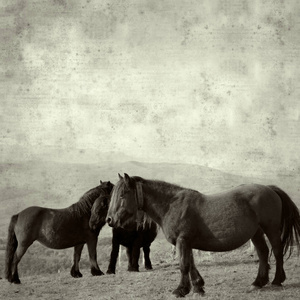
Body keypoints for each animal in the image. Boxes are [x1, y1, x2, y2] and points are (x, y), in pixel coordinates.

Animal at [106, 173, 300, 298]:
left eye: (122, 195)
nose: (109, 219)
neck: (171, 205)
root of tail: (270, 189)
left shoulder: (182, 241)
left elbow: (184, 265)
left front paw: (180, 290)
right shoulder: (186, 242)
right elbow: (191, 264)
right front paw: (198, 287)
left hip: (271, 228)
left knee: (276, 252)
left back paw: (277, 280)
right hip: (256, 232)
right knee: (263, 253)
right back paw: (258, 282)